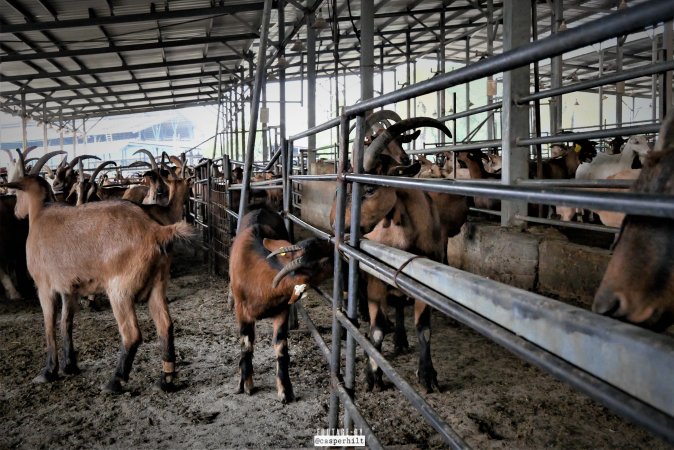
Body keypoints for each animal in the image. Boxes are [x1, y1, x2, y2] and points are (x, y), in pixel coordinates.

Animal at [5, 174, 192, 392]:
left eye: (17, 193)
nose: (16, 212)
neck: (40, 214)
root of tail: (155, 231)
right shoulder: (69, 289)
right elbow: (66, 323)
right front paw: (70, 366)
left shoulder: (45, 287)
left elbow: (49, 324)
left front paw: (48, 372)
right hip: (158, 284)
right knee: (165, 325)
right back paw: (165, 379)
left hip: (120, 290)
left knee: (131, 334)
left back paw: (115, 381)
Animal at [228, 208, 328, 404]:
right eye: (322, 264)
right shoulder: (242, 311)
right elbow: (246, 344)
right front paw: (246, 385)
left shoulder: (282, 309)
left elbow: (281, 347)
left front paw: (286, 391)